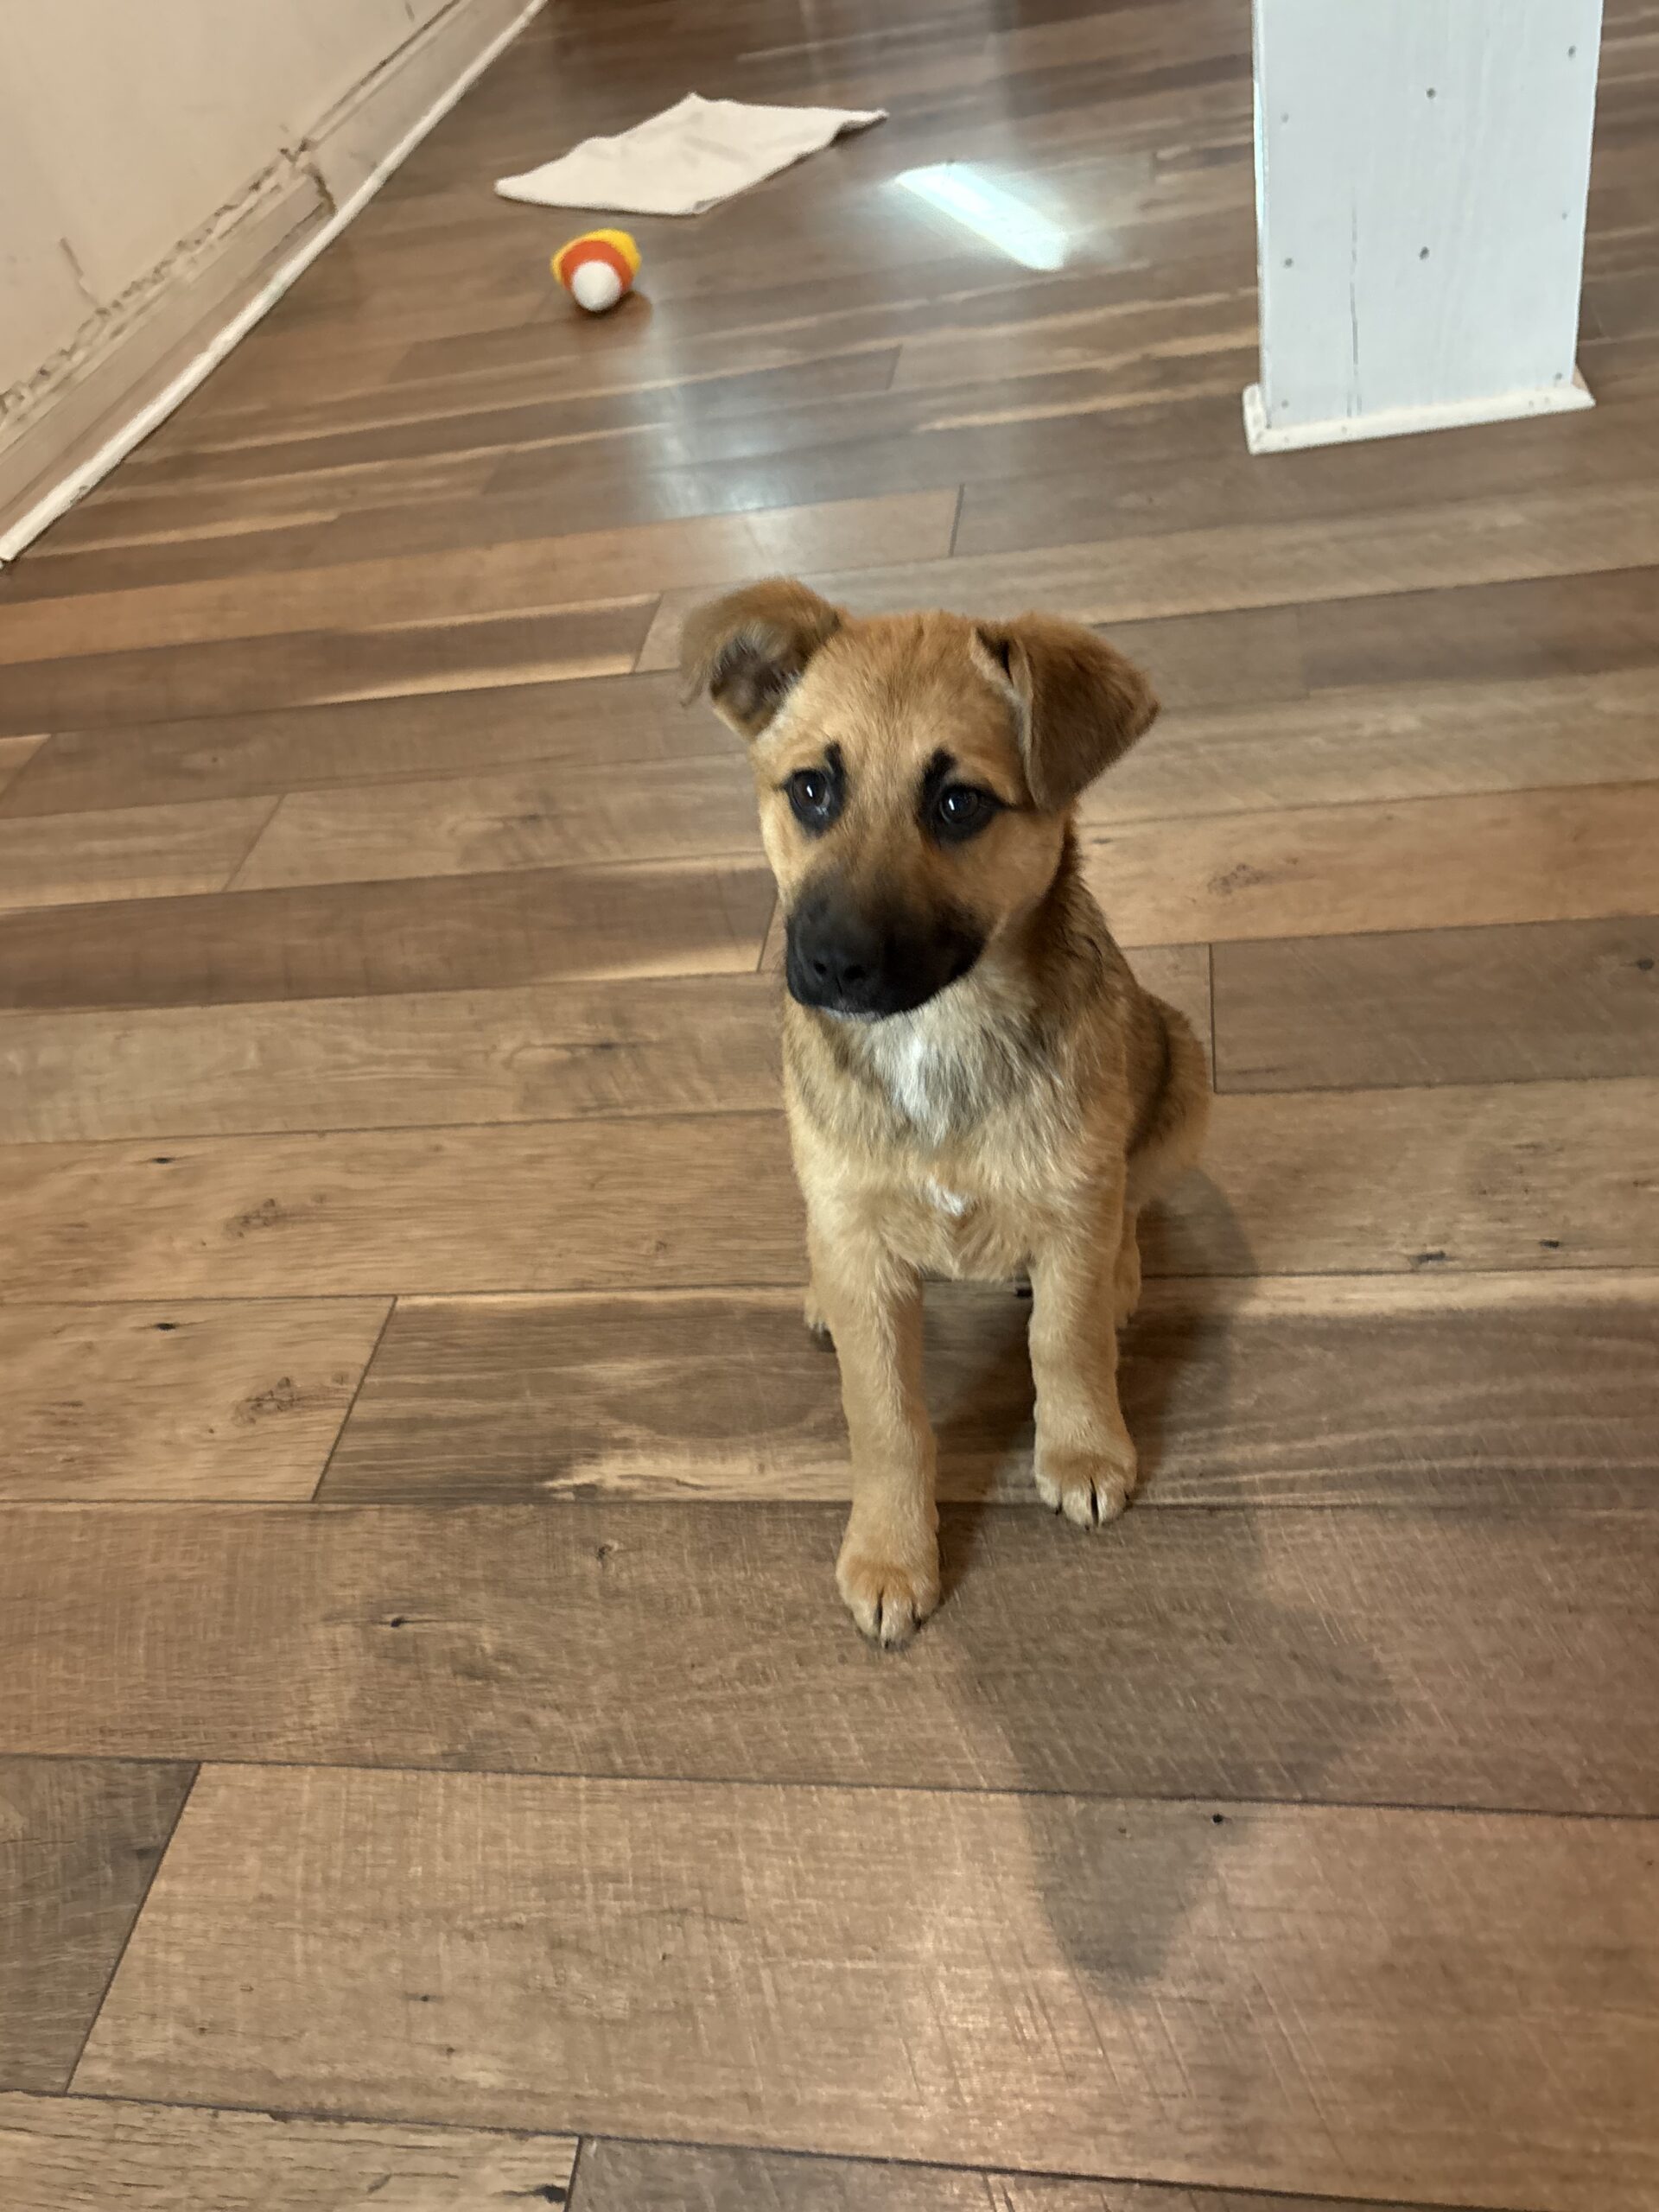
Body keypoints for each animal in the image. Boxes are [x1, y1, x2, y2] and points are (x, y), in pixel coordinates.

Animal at [683, 579, 1209, 1644]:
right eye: (811, 791)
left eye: (959, 803)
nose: (831, 965)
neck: (936, 1032)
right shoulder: (857, 1230)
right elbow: (885, 1417)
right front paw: (891, 1553)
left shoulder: (1074, 1198)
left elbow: (1065, 1339)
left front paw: (1082, 1449)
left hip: (1183, 1072)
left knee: (1131, 1204)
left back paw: (1123, 1273)